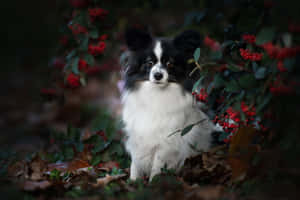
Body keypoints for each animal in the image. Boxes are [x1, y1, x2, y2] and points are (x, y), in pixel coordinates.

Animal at [120, 27, 218, 180]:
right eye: (149, 63)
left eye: (170, 64)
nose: (158, 75)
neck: (156, 94)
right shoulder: (138, 136)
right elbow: (135, 164)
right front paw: (133, 181)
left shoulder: (167, 141)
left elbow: (157, 165)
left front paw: (153, 182)